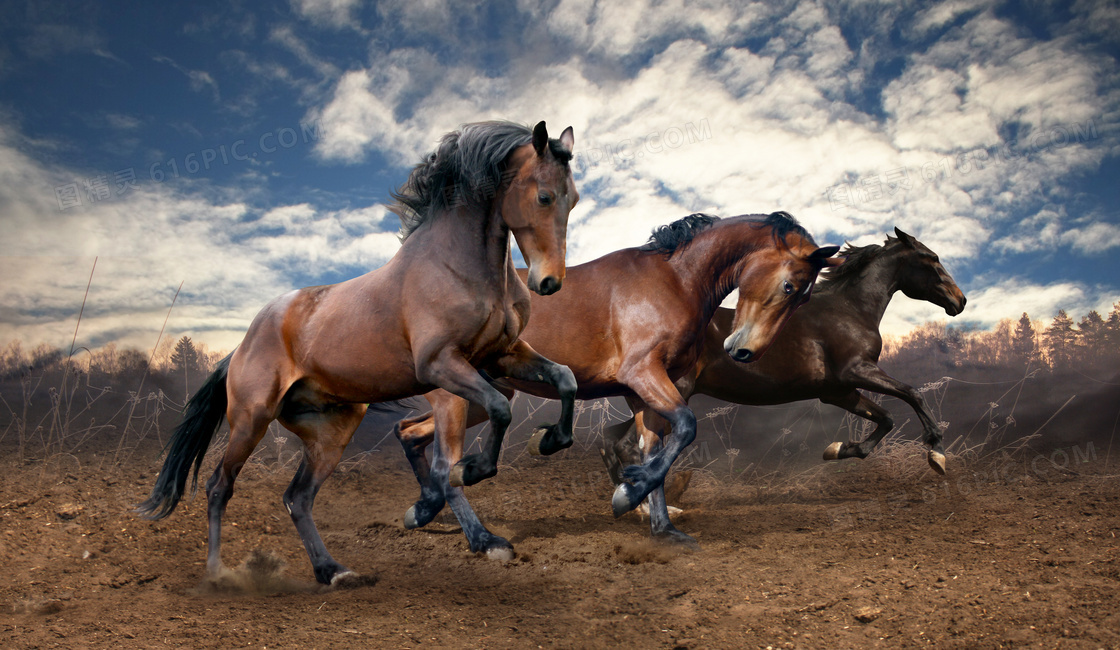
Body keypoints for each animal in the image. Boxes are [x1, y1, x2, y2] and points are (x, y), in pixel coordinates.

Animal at [135, 120, 582, 582]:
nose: (549, 283)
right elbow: (496, 411)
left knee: (297, 498)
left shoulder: (502, 355)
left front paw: (549, 441)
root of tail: (240, 347)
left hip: (332, 431)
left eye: (574, 199)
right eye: (544, 196)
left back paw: (332, 570)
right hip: (250, 420)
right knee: (219, 487)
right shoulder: (440, 365)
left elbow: (564, 378)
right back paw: (218, 572)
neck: (459, 267)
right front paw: (473, 477)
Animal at [394, 211, 842, 553]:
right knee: (444, 465)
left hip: (484, 395)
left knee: (409, 433)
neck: (674, 280)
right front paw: (628, 495)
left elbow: (654, 448)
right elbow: (685, 427)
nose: (745, 352)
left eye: (803, 297)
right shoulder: (643, 374)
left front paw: (662, 526)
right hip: (456, 397)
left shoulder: (643, 392)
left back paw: (423, 509)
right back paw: (483, 540)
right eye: (789, 285)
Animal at [600, 227, 967, 481]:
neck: (849, 310)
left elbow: (886, 417)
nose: (960, 301)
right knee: (628, 446)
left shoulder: (838, 391)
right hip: (674, 394)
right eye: (932, 258)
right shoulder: (857, 371)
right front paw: (937, 453)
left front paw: (839, 449)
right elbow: (913, 393)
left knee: (614, 442)